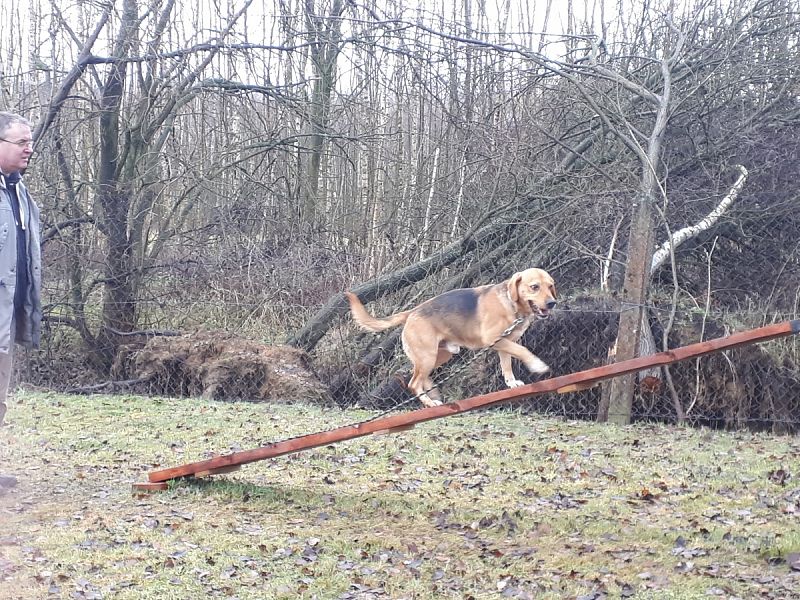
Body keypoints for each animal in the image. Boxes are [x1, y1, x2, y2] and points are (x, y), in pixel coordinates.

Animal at [344, 268, 556, 406]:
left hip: (440, 356)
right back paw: (429, 403)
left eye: (550, 286)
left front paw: (512, 382)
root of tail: (412, 311)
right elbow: (523, 350)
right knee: (413, 383)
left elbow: (507, 364)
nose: (552, 303)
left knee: (418, 376)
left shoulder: (505, 342)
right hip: (428, 357)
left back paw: (433, 393)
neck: (512, 305)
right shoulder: (494, 339)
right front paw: (537, 365)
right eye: (534, 287)